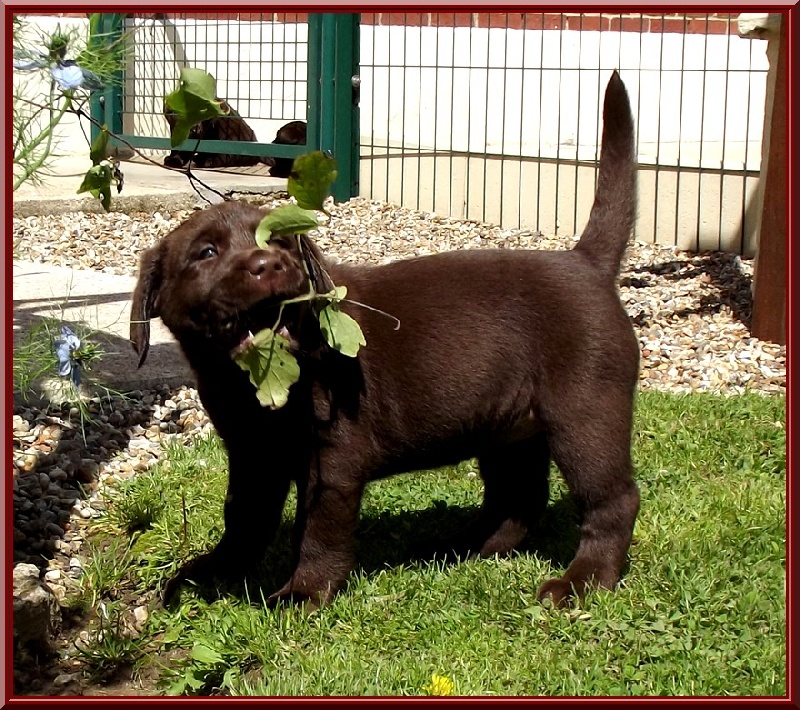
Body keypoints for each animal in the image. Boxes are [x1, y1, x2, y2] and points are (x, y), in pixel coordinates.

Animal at [131, 71, 640, 610]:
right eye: (206, 253)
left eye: (284, 243)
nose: (270, 265)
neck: (244, 382)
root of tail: (586, 263)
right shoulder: (252, 455)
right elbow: (243, 520)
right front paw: (210, 572)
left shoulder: (331, 460)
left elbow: (318, 531)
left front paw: (303, 592)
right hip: (508, 426)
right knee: (517, 498)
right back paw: (461, 547)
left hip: (584, 410)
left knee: (611, 499)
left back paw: (583, 580)